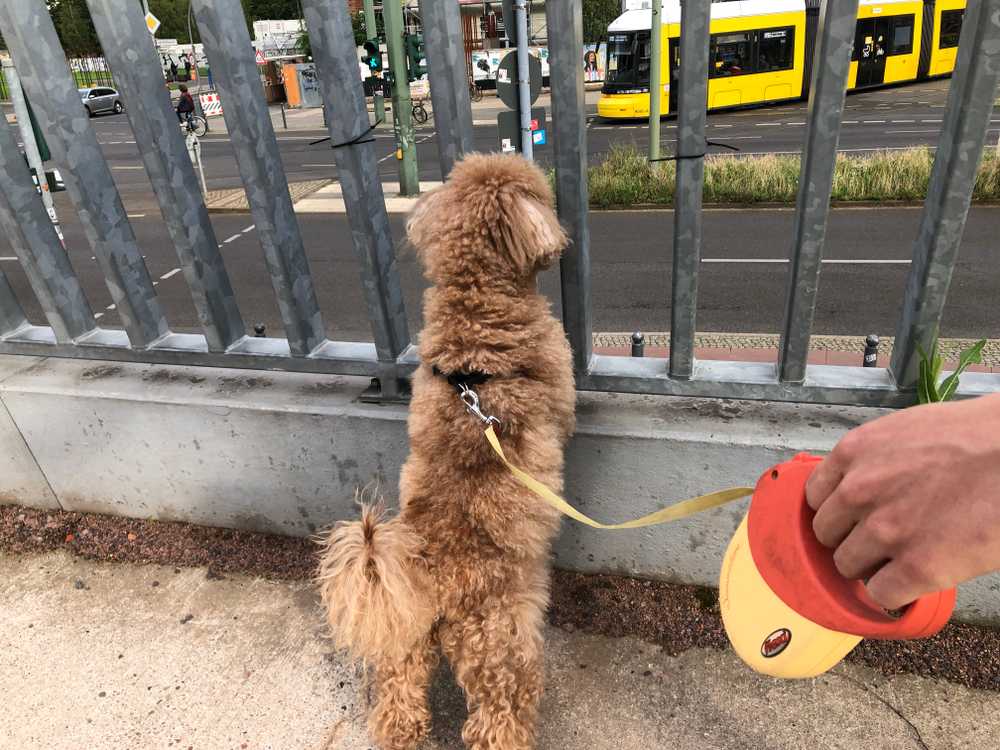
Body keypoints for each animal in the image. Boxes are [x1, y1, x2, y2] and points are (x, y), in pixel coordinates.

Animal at [316, 154, 576, 750]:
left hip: (404, 637)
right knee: (497, 717)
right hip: (501, 643)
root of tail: (427, 575)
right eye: (540, 193)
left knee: (397, 699)